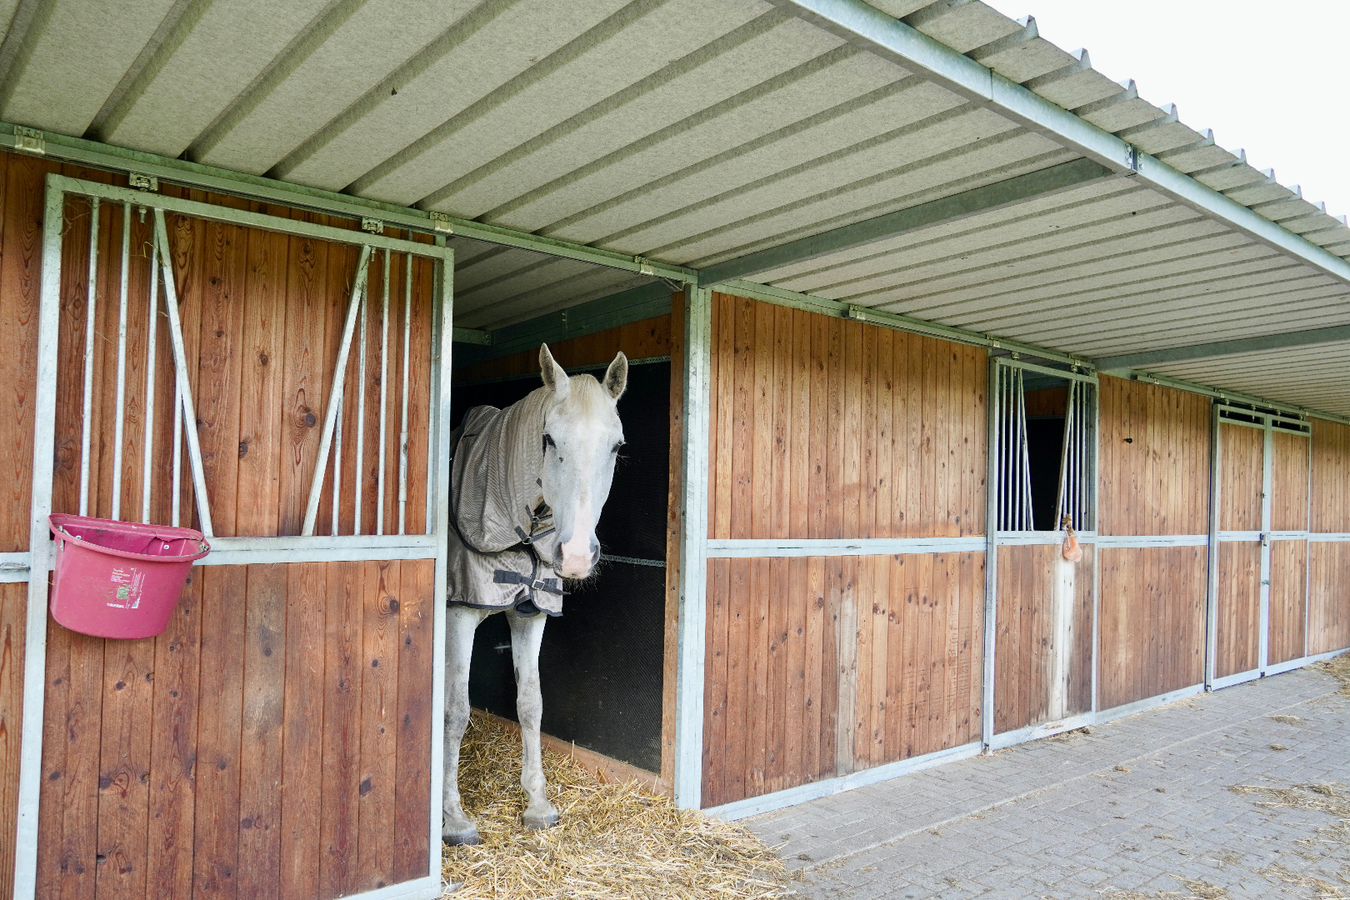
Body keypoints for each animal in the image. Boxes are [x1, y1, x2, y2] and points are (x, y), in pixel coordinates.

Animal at [445, 342, 629, 847]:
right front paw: (454, 818)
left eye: (616, 446)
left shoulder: (531, 615)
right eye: (548, 439)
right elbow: (455, 710)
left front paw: (537, 803)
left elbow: (531, 703)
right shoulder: (459, 614)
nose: (577, 556)